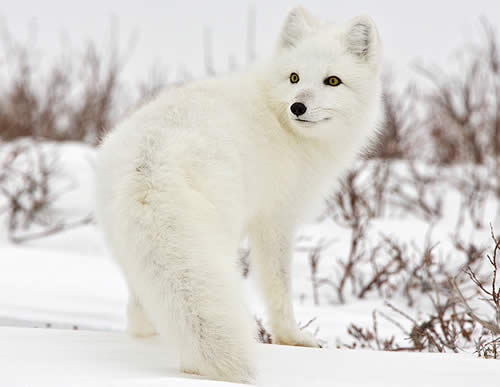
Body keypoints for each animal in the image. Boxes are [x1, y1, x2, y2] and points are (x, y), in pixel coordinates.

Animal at [94, 6, 382, 384]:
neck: (281, 122)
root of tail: (151, 161)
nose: (298, 107)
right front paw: (291, 338)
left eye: (332, 81)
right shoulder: (276, 221)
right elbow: (279, 288)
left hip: (132, 251)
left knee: (140, 310)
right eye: (294, 77)